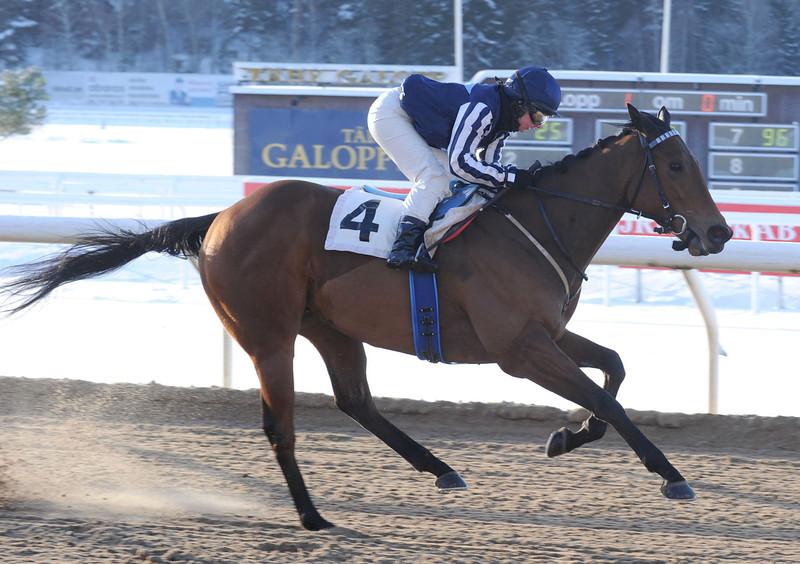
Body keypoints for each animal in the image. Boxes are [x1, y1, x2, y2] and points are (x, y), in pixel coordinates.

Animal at [1, 104, 732, 528]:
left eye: (695, 159)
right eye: (675, 163)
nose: (718, 232)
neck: (535, 223)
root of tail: (220, 218)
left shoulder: (545, 334)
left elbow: (614, 369)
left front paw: (565, 436)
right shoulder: (518, 350)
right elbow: (607, 398)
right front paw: (671, 476)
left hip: (328, 327)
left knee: (356, 401)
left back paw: (440, 468)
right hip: (267, 335)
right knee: (282, 425)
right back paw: (313, 519)